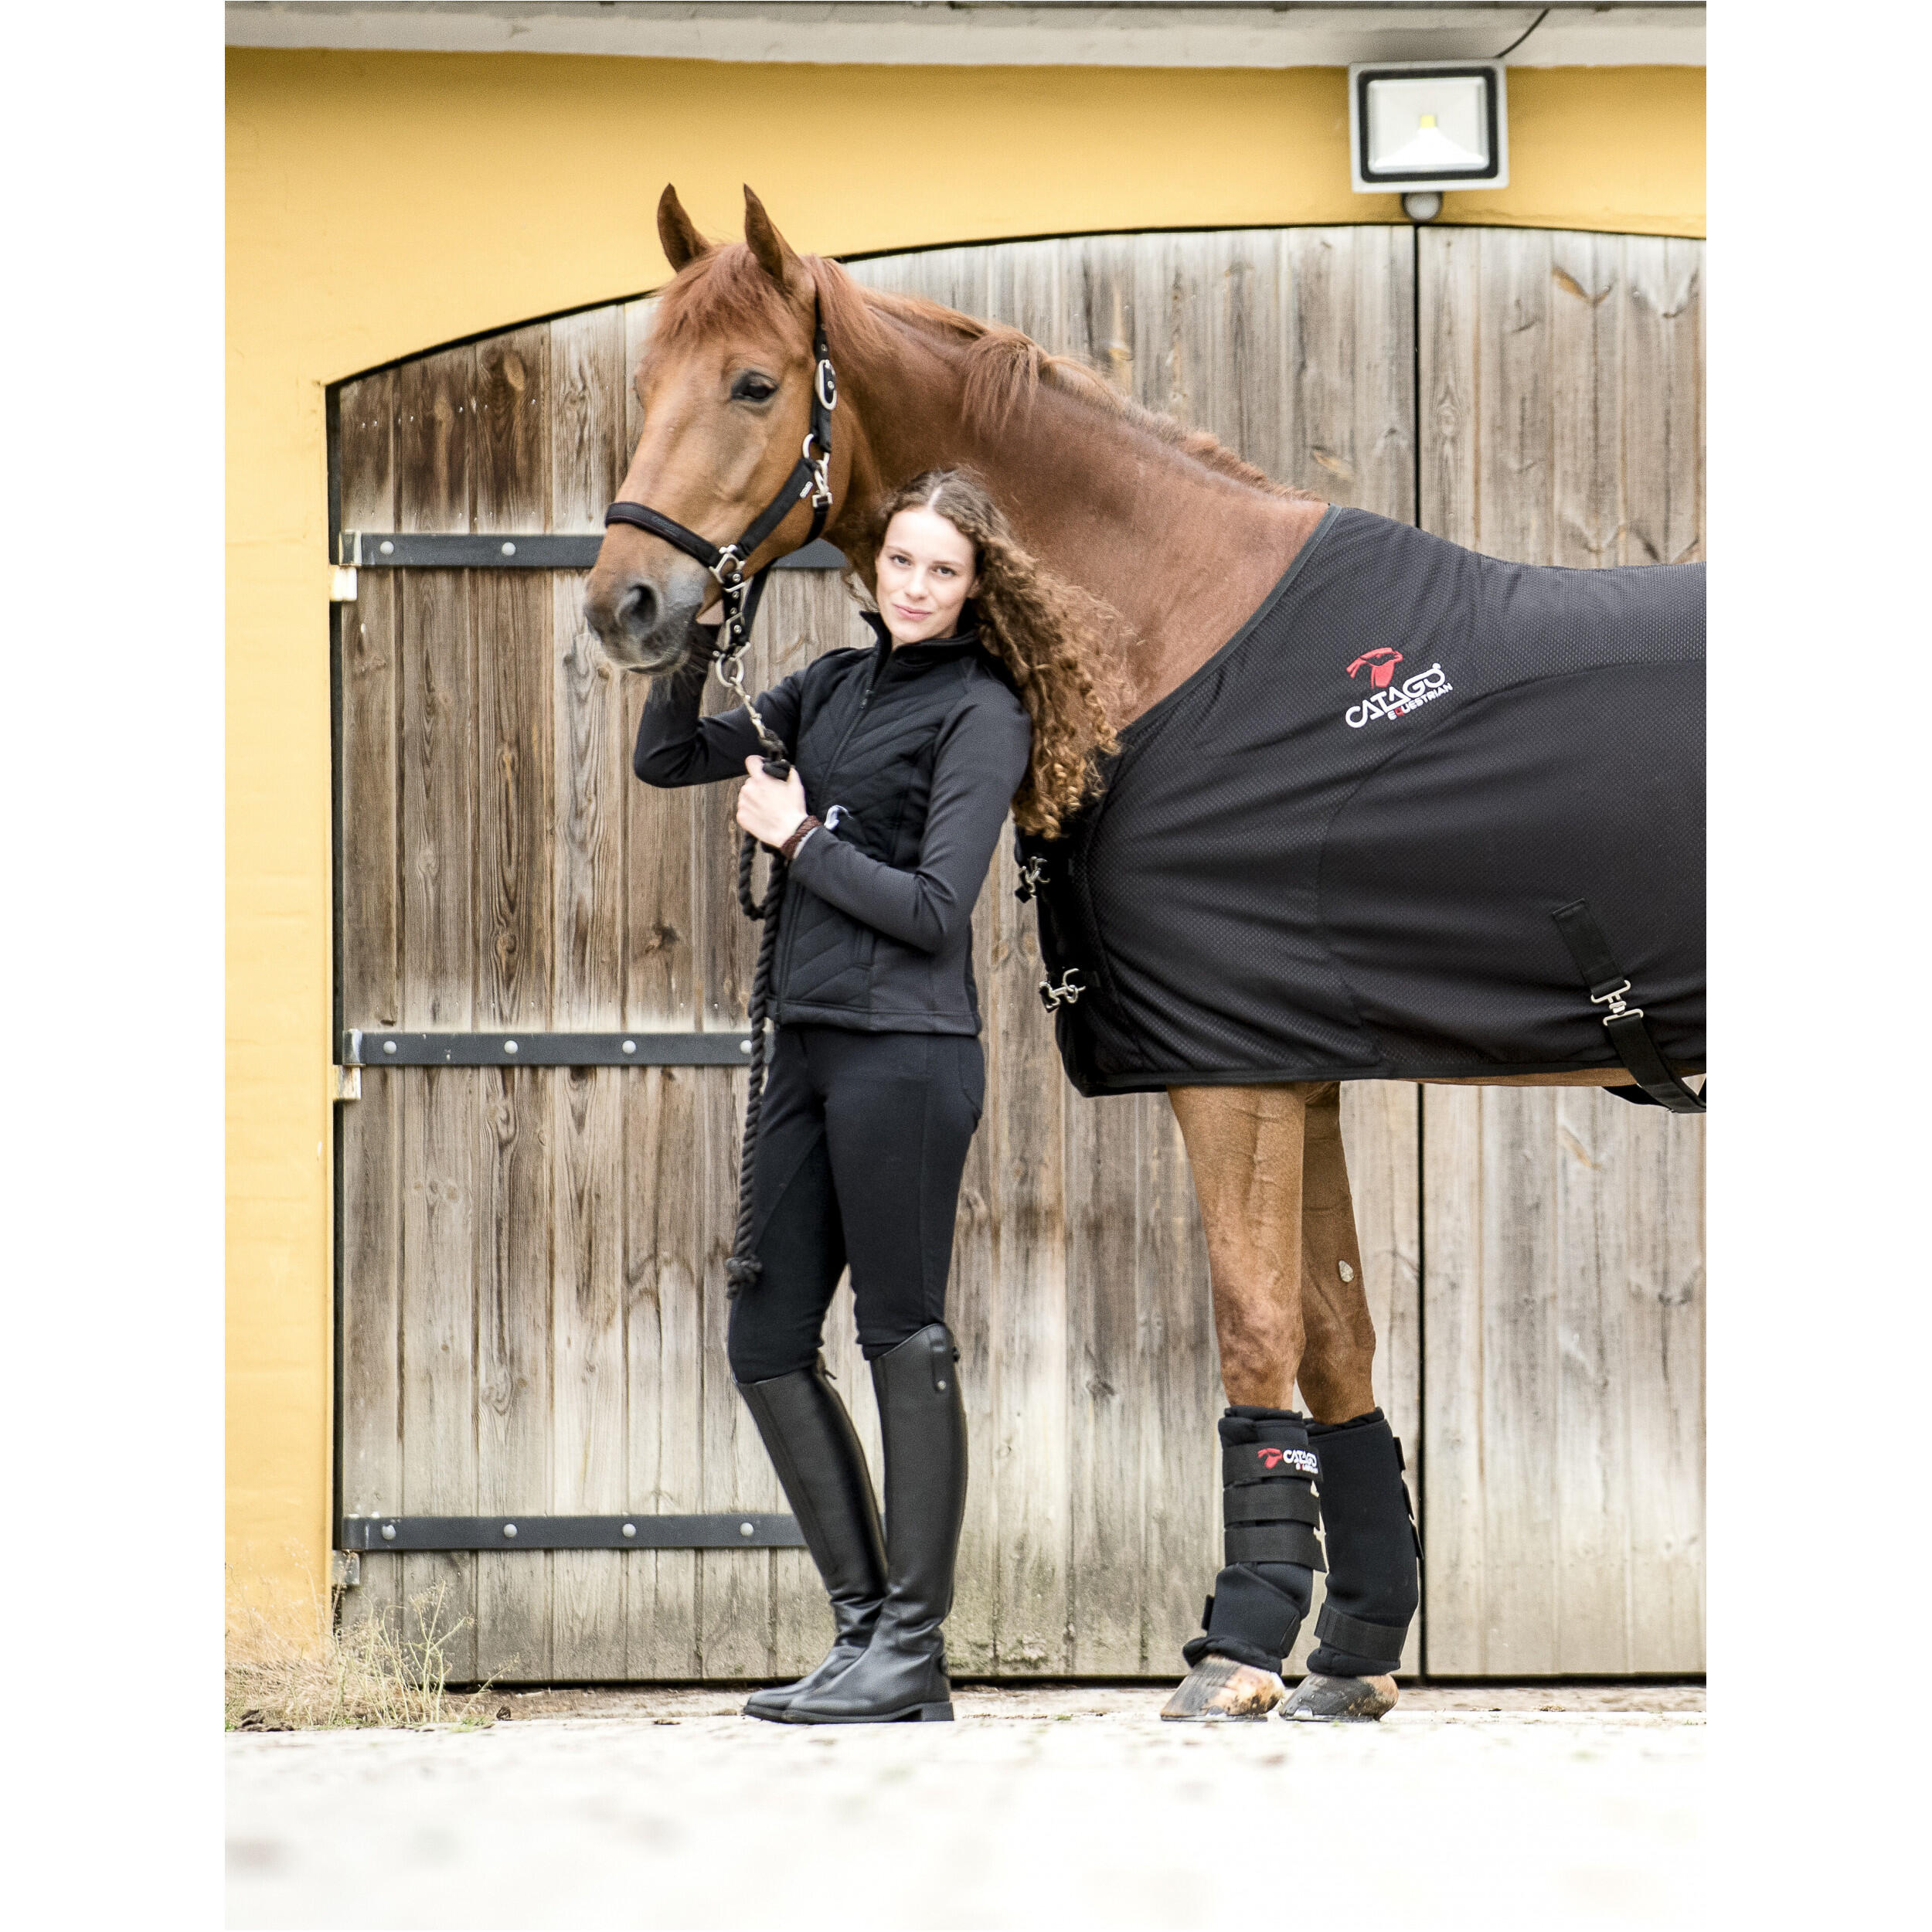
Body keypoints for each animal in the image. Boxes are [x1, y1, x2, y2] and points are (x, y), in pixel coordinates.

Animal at [584, 187, 1705, 1721]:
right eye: (644, 384)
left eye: (754, 384)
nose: (623, 606)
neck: (1180, 635)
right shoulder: (1297, 1063)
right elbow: (1338, 1342)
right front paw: (1351, 1661)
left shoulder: (1231, 1077)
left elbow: (1257, 1330)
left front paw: (1237, 1651)